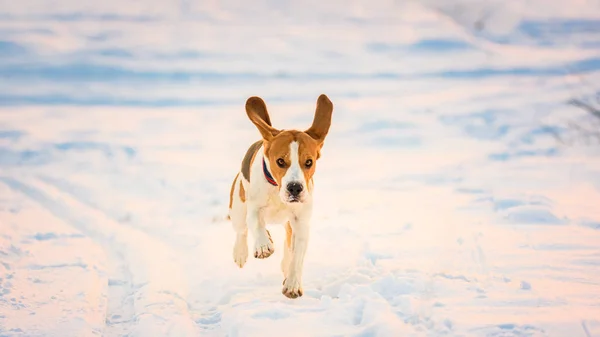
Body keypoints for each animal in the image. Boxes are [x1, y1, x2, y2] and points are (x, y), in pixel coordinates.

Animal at [229, 94, 332, 296]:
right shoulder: (254, 208)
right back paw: (241, 252)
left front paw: (292, 283)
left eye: (309, 162)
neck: (277, 192)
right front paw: (263, 245)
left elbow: (296, 256)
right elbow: (256, 224)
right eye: (280, 161)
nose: (295, 188)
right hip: (237, 207)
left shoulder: (300, 222)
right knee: (242, 230)